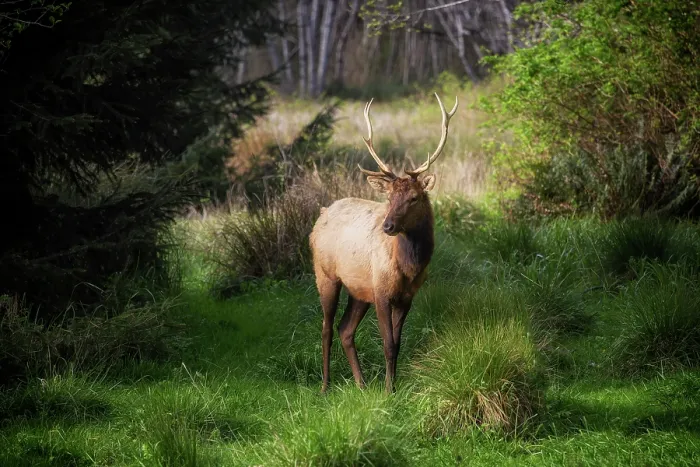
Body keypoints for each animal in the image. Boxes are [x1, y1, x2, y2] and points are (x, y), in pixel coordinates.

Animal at [309, 93, 458, 393]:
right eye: (389, 197)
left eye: (414, 197)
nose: (387, 226)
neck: (409, 267)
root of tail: (321, 215)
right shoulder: (381, 291)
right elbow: (388, 343)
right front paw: (389, 391)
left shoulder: (407, 297)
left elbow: (398, 344)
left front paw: (393, 385)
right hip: (325, 275)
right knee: (327, 327)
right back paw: (325, 386)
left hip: (358, 289)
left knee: (345, 329)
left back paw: (361, 383)